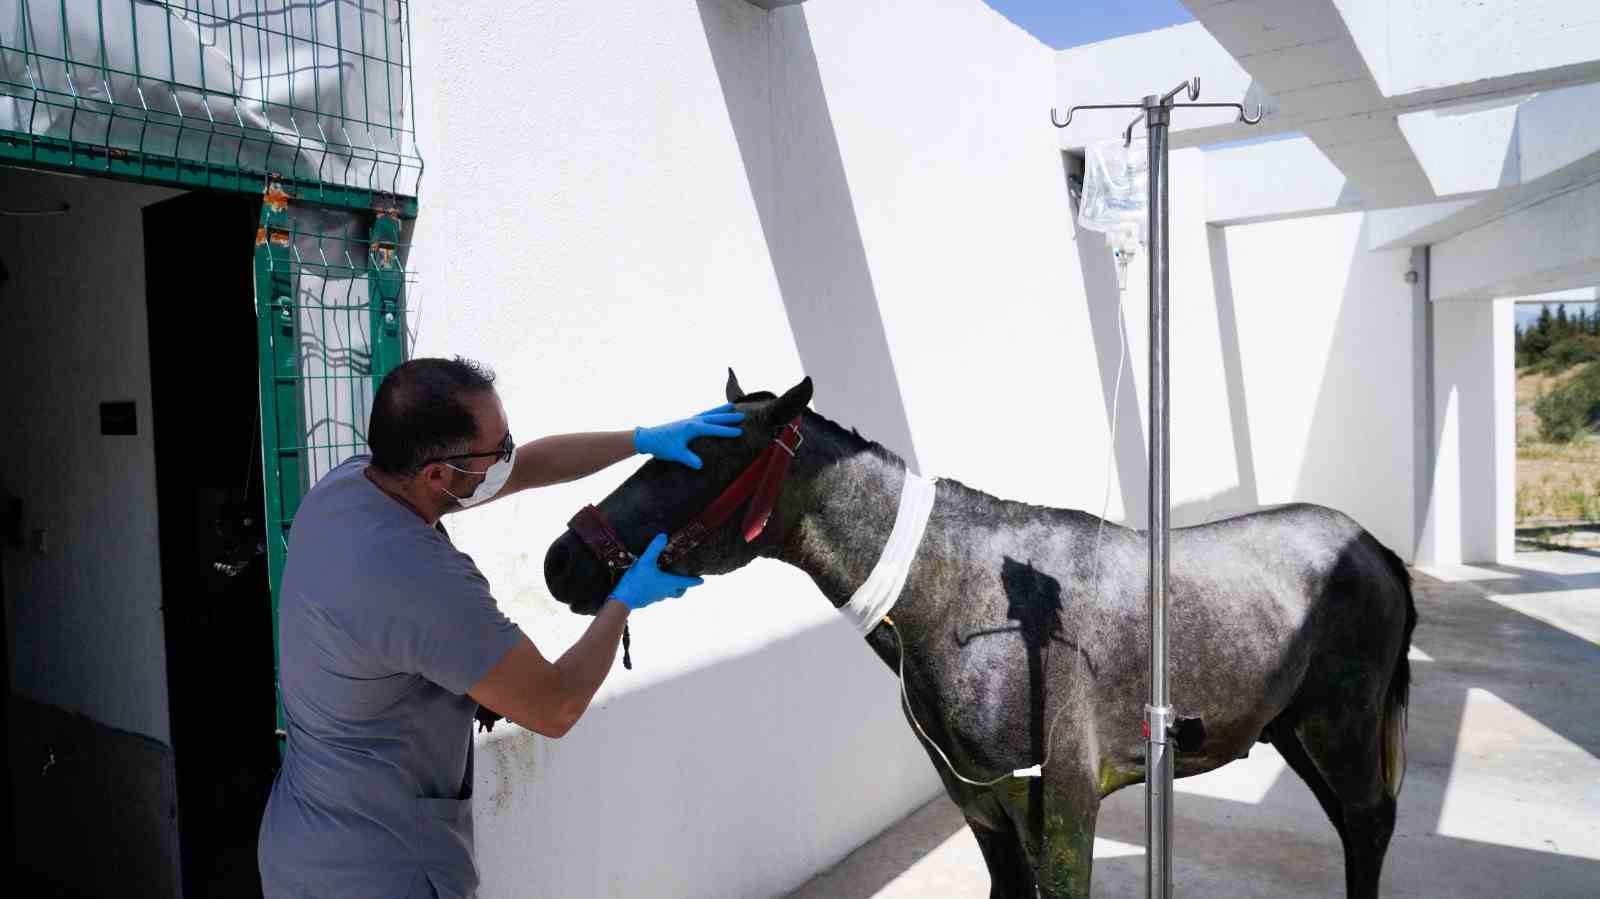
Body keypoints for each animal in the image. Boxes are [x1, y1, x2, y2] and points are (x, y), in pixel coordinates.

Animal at [540, 371, 1414, 895]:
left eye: (701, 457)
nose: (562, 561)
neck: (960, 601)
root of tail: (1376, 548)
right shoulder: (982, 804)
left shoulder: (1063, 802)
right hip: (1293, 728)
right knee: (1354, 822)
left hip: (1340, 724)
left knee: (1369, 822)